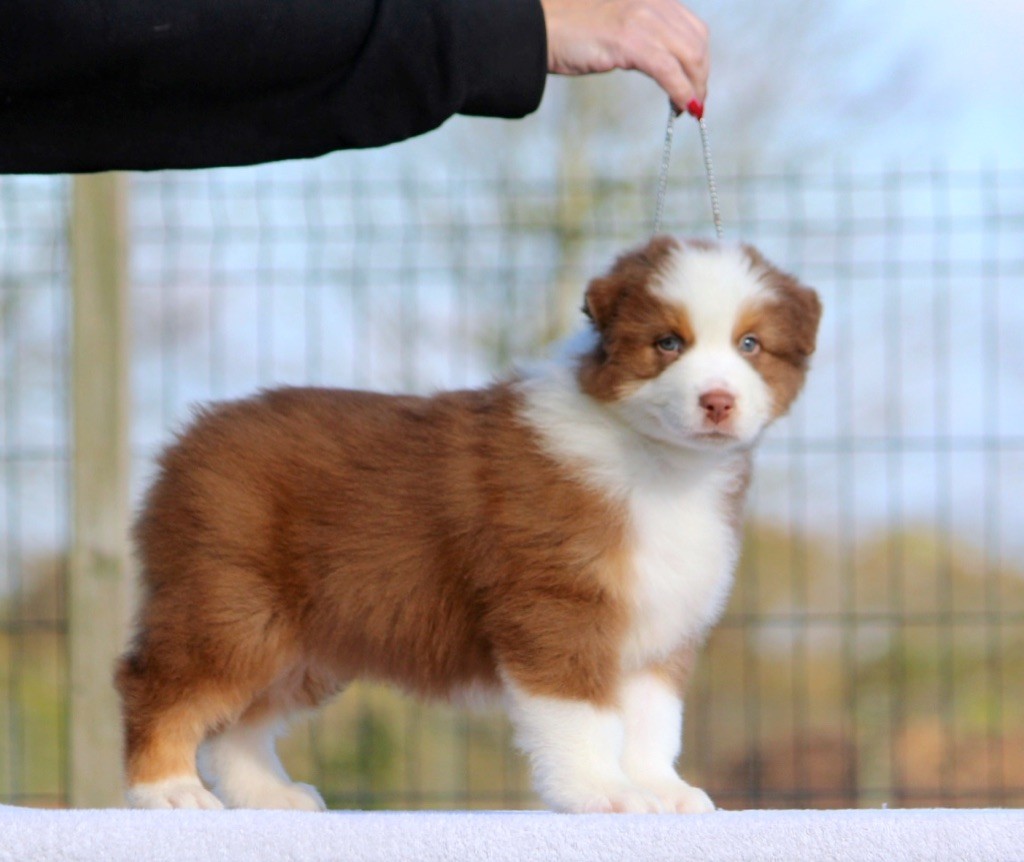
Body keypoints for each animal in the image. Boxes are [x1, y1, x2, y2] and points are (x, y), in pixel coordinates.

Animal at [116, 236, 821, 813]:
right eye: (668, 343)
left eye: (750, 345)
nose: (718, 401)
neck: (661, 466)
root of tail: (185, 441)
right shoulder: (556, 606)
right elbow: (582, 716)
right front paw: (602, 793)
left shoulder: (659, 621)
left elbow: (652, 722)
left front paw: (660, 791)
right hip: (229, 604)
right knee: (157, 684)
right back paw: (168, 791)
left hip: (305, 637)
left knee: (238, 725)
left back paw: (269, 795)